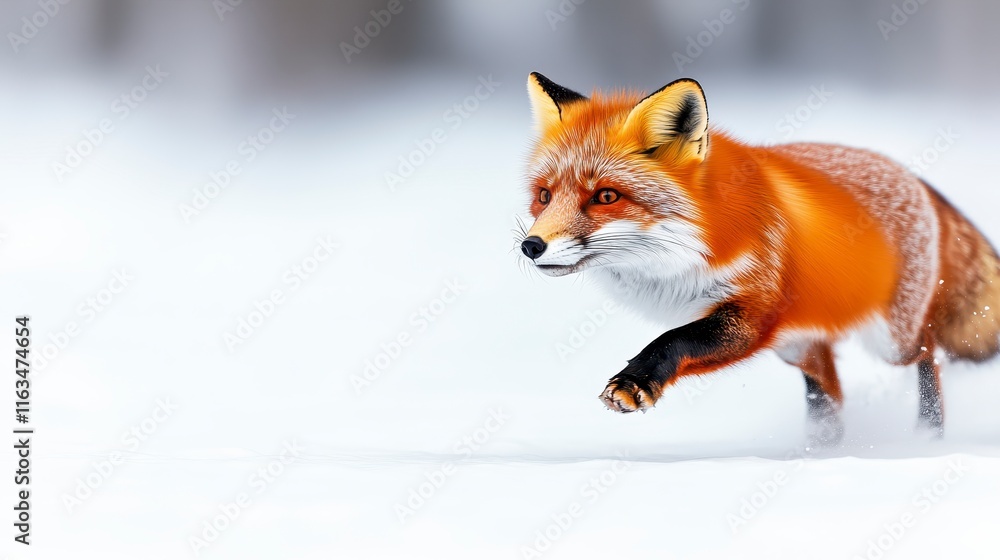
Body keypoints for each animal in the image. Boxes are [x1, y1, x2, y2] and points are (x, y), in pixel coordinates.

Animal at [517, 72, 1000, 442]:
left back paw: (928, 435)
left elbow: (673, 339)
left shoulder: (755, 310)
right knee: (830, 392)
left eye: (605, 196)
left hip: (891, 342)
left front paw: (635, 382)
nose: (531, 246)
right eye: (544, 196)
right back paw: (821, 450)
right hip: (799, 344)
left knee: (930, 353)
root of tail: (914, 178)